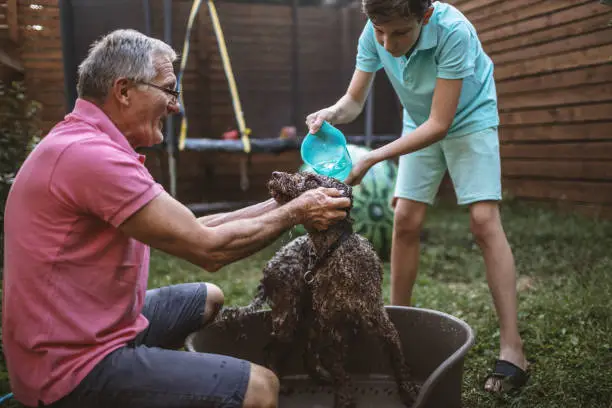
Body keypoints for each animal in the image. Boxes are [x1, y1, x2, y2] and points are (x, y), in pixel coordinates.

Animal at [215, 171, 416, 406]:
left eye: (312, 180)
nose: (275, 174)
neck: (333, 252)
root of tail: (270, 266)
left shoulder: (380, 322)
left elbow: (399, 361)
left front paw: (409, 392)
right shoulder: (332, 330)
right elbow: (340, 373)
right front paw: (344, 399)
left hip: (311, 319)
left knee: (306, 353)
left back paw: (320, 377)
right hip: (288, 318)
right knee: (273, 350)